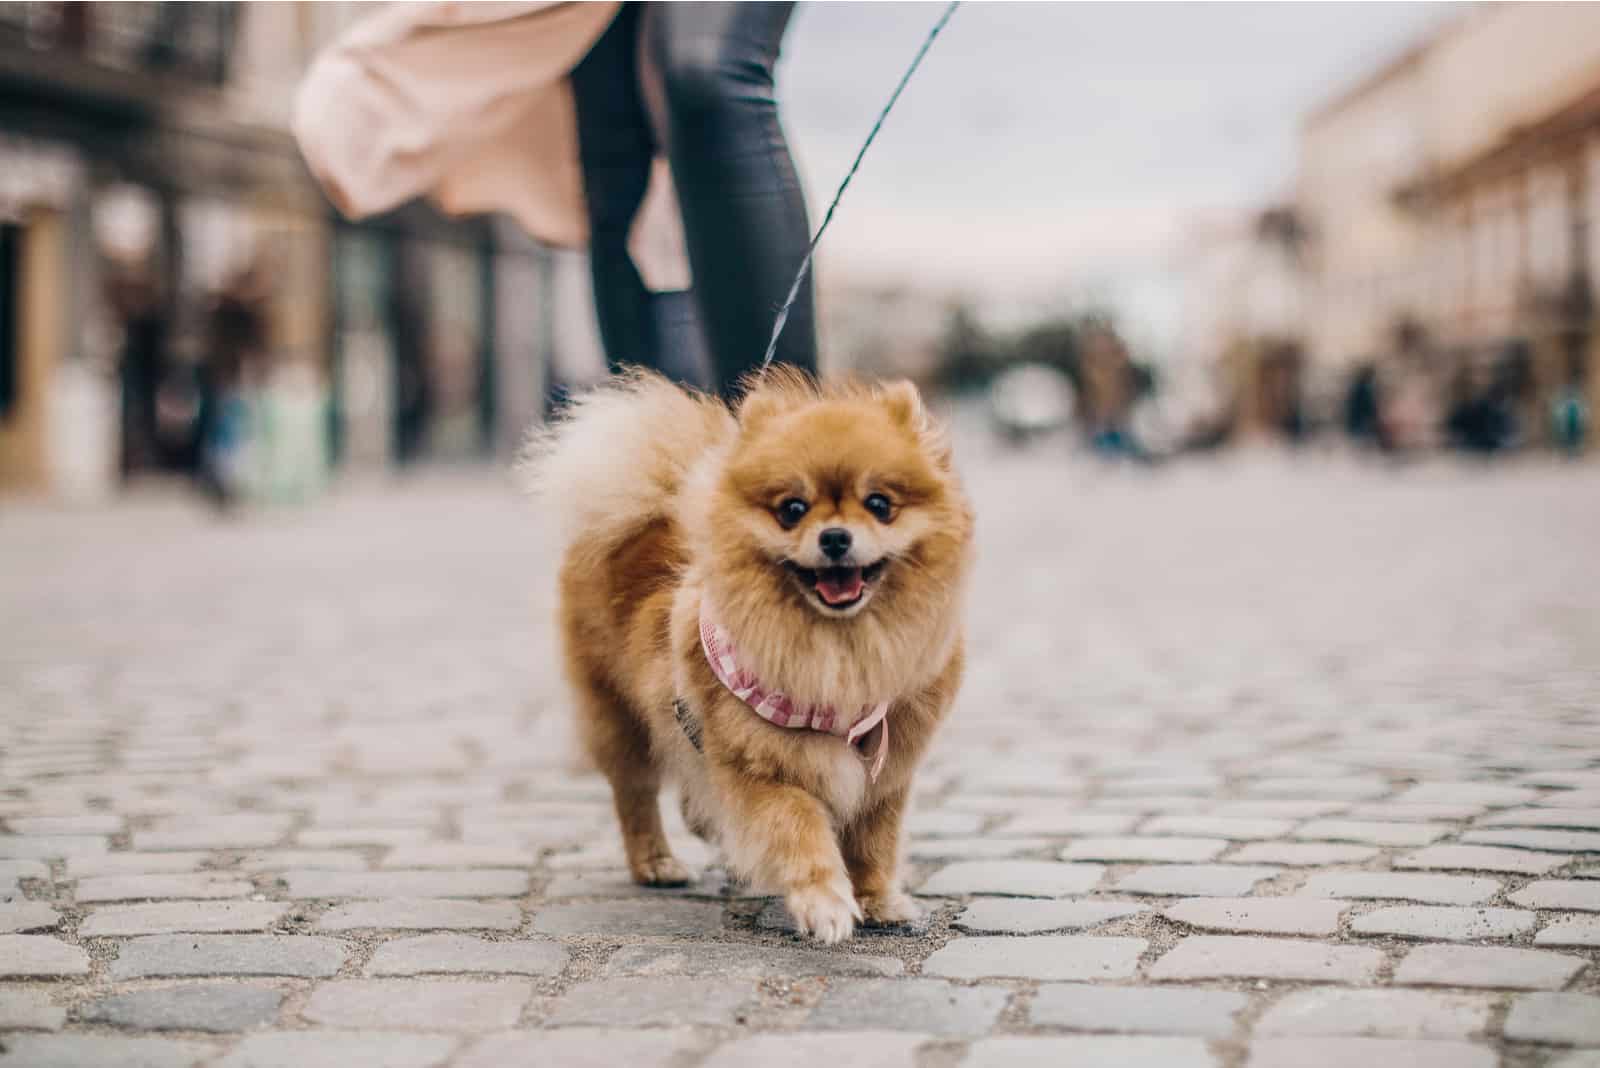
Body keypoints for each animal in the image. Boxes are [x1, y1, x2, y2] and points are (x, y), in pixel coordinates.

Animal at [531, 369, 966, 940]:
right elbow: (800, 831)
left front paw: (877, 900)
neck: (838, 651)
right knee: (636, 795)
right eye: (792, 510)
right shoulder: (761, 770)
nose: (834, 537)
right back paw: (655, 862)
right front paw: (824, 902)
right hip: (621, 719)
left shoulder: (886, 776)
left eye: (879, 504)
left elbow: (875, 843)